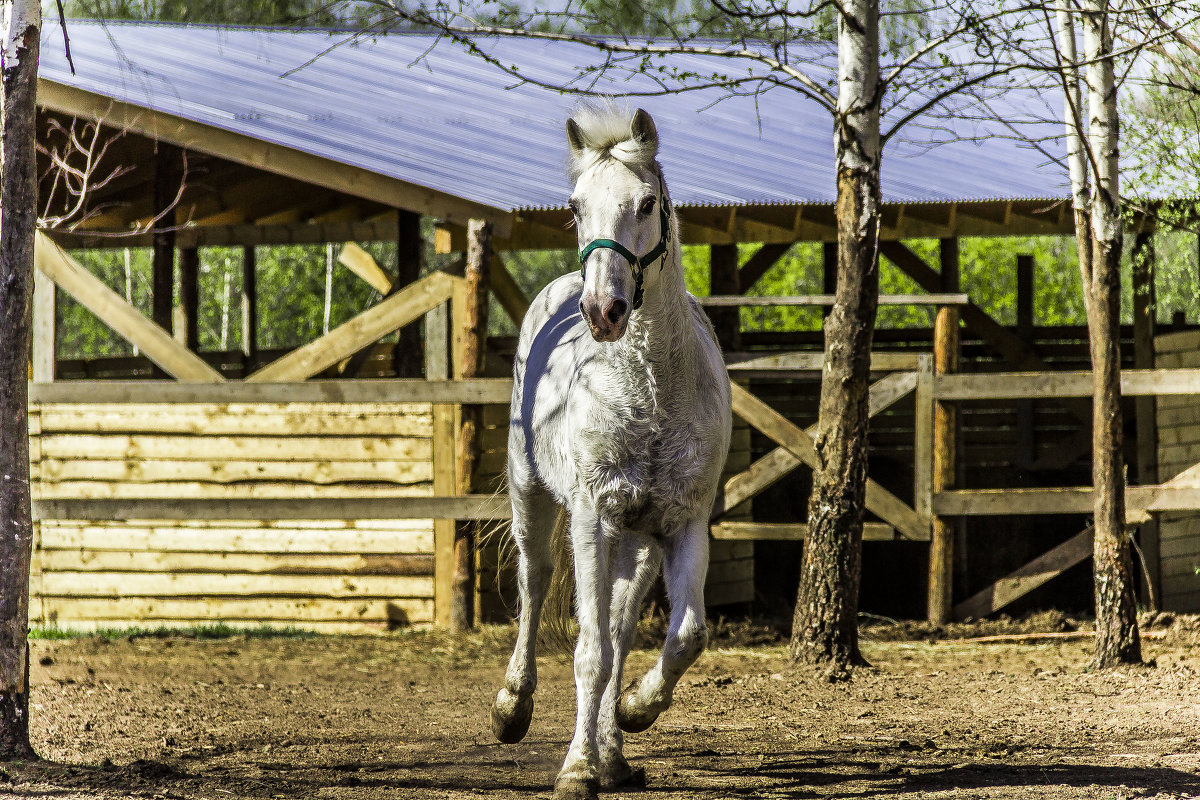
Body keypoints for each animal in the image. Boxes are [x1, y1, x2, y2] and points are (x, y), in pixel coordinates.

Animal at [489, 107, 729, 800]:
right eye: (575, 207)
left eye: (646, 203)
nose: (604, 310)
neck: (650, 391)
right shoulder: (593, 519)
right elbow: (590, 652)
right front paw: (575, 770)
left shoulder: (682, 523)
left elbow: (684, 637)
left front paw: (636, 712)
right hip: (534, 496)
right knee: (535, 581)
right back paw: (513, 707)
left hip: (637, 540)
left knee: (623, 631)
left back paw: (614, 755)